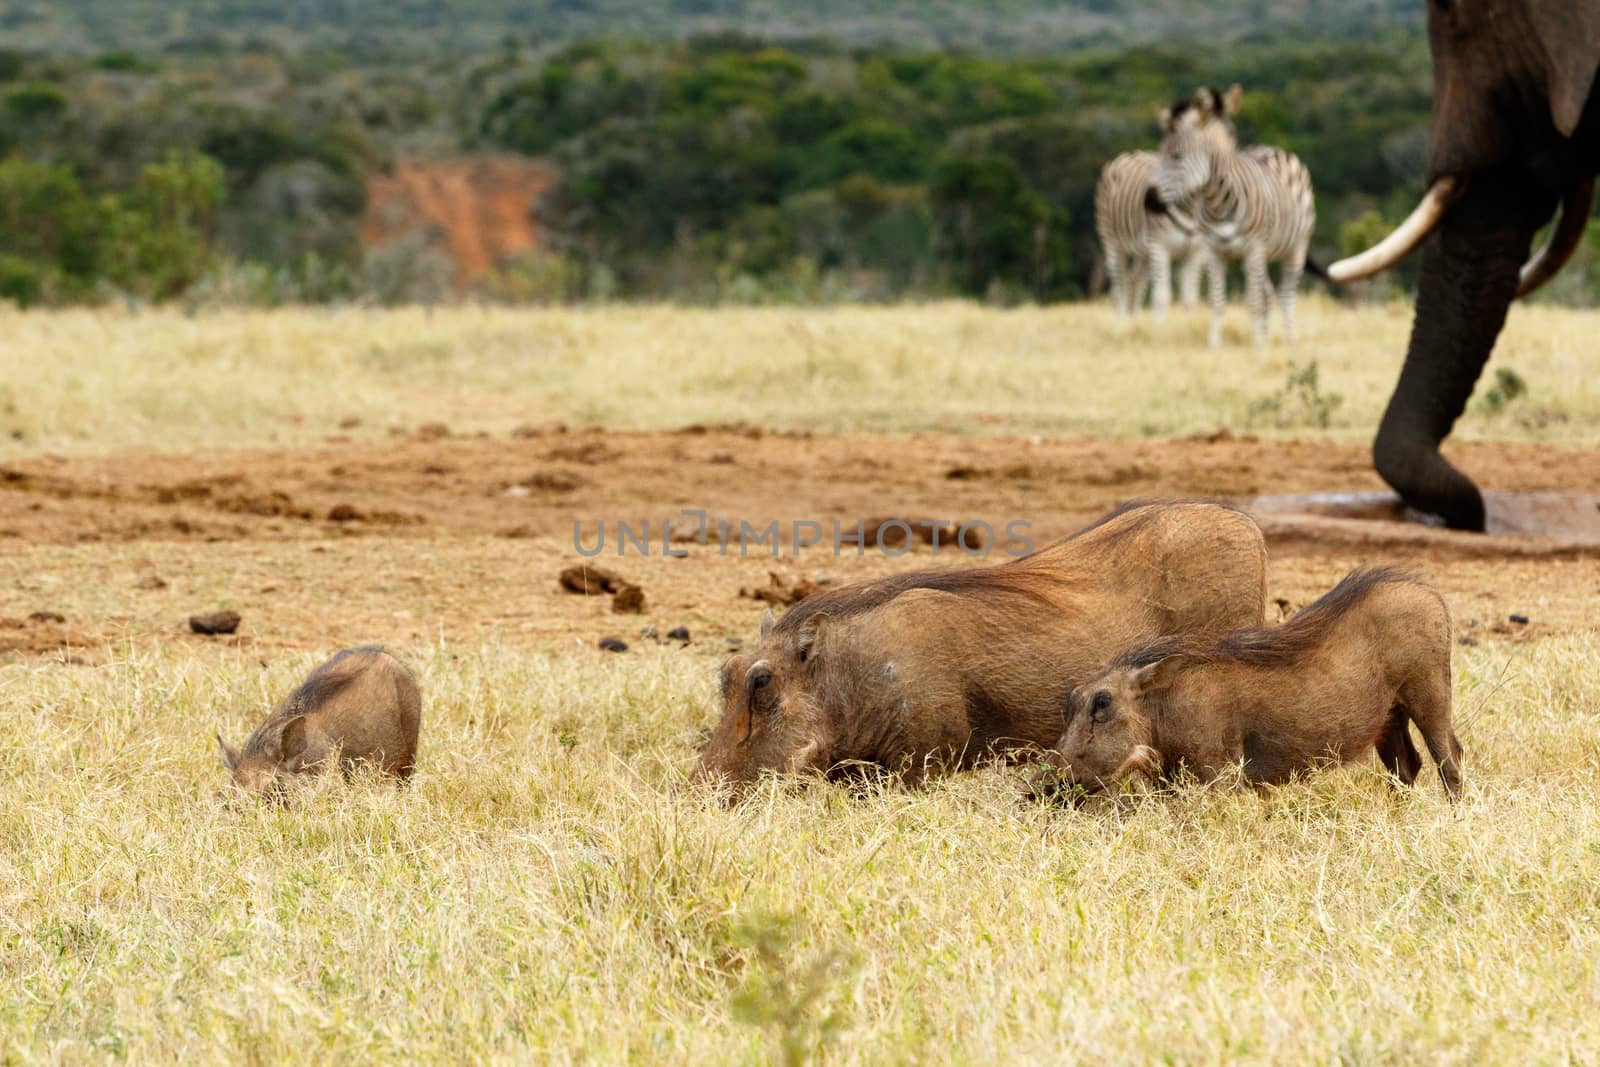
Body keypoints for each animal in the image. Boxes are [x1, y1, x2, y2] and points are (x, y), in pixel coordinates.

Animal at [1094, 150, 1216, 319]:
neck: (1189, 212)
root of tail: (1127, 155)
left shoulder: (1196, 252)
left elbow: (1189, 298)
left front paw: (1188, 323)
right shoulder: (1160, 247)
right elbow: (1162, 295)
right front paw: (1160, 324)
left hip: (1144, 252)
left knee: (1134, 279)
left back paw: (1134, 320)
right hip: (1112, 241)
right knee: (1119, 283)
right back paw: (1122, 320)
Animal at [1158, 88, 1318, 347]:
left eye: (1177, 156)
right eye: (1162, 154)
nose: (1151, 201)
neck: (1219, 204)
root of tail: (1272, 148)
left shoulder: (1253, 249)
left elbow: (1253, 301)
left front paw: (1258, 347)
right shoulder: (1213, 251)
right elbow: (1217, 301)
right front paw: (1215, 345)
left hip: (1296, 248)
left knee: (1285, 295)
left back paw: (1290, 340)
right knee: (1266, 294)